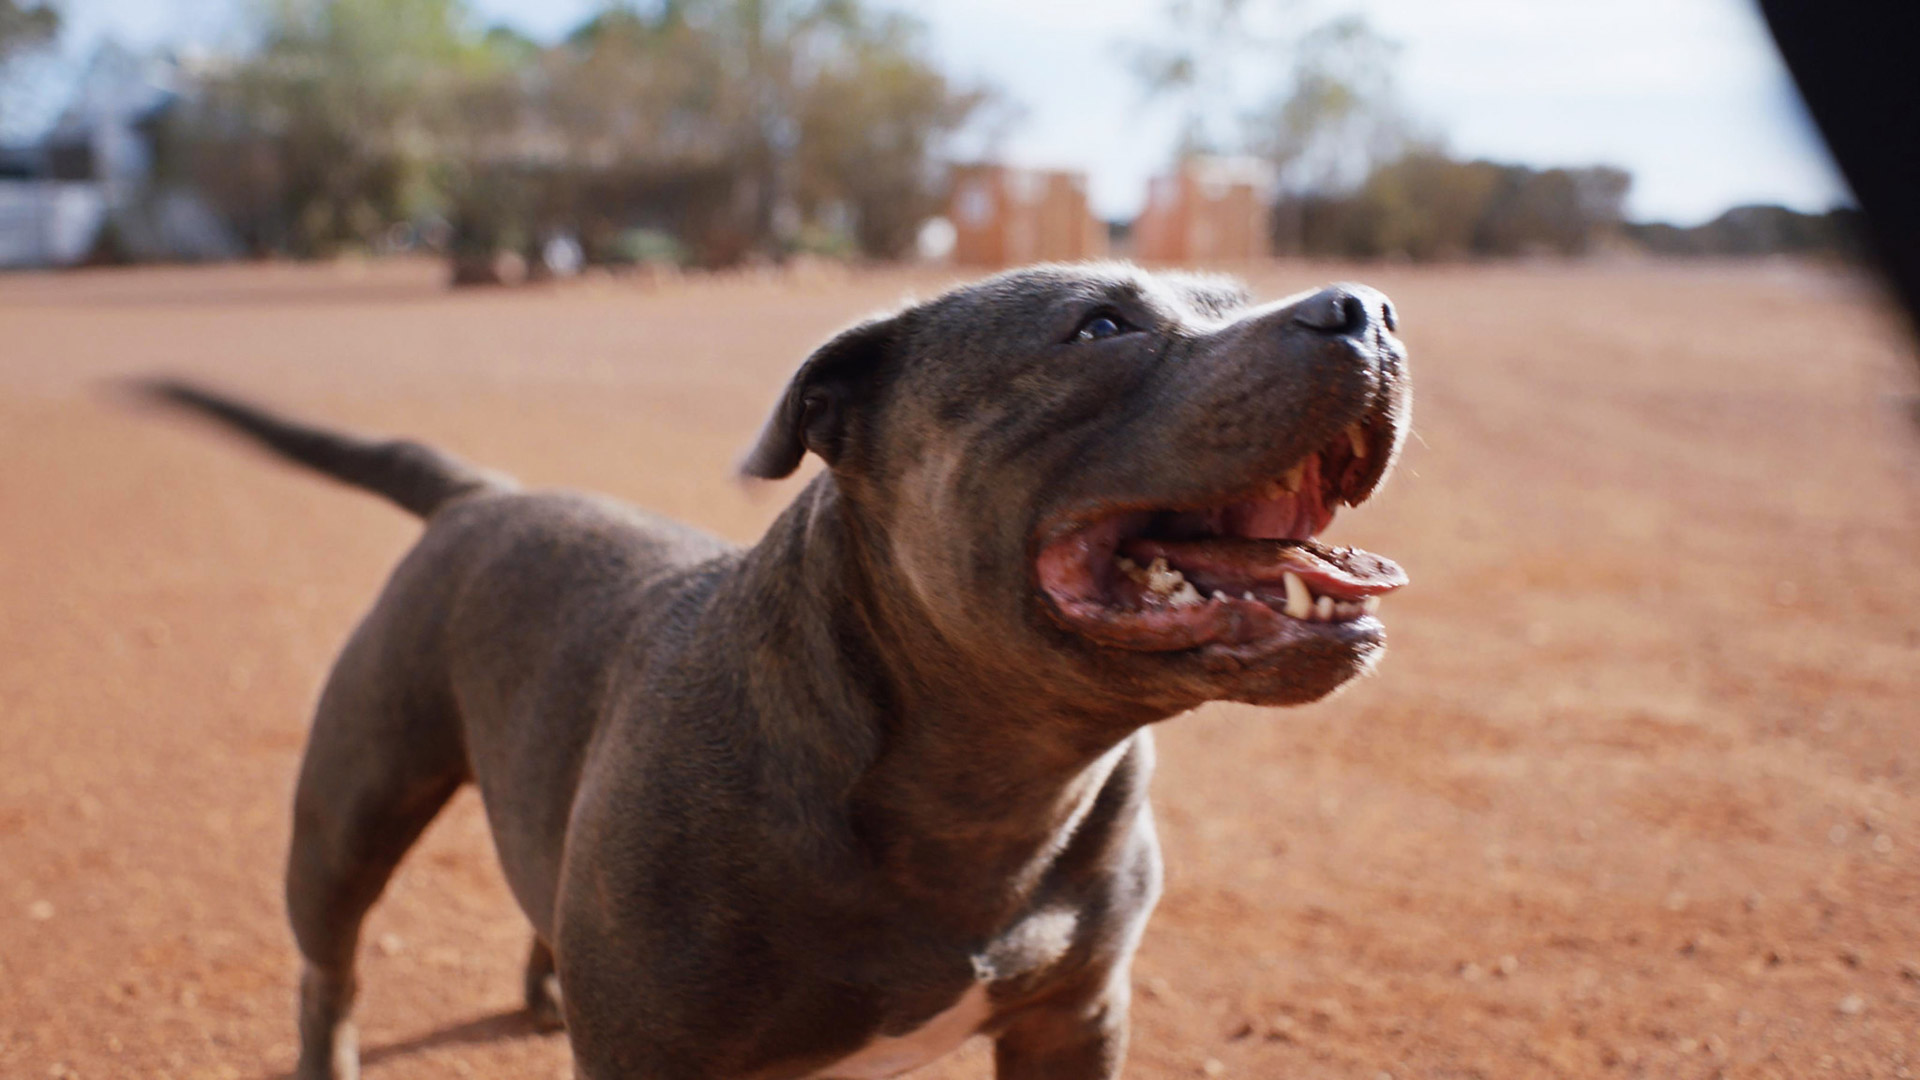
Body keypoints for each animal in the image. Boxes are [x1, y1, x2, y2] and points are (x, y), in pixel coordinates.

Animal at [142, 263, 1413, 1076]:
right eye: (1100, 327)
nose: (1368, 309)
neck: (995, 785)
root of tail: (482, 494)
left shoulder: (1072, 1018)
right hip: (351, 808)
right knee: (331, 971)